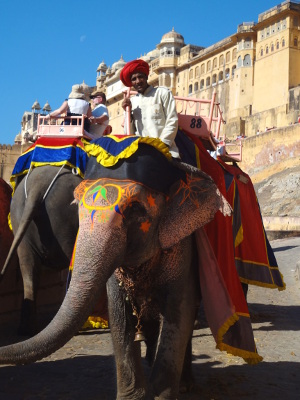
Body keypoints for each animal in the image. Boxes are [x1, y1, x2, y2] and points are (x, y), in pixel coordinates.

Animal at [0, 142, 230, 398]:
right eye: (76, 205)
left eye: (135, 209)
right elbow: (119, 313)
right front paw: (133, 396)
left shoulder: (183, 246)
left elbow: (178, 310)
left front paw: (161, 394)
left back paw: (185, 384)